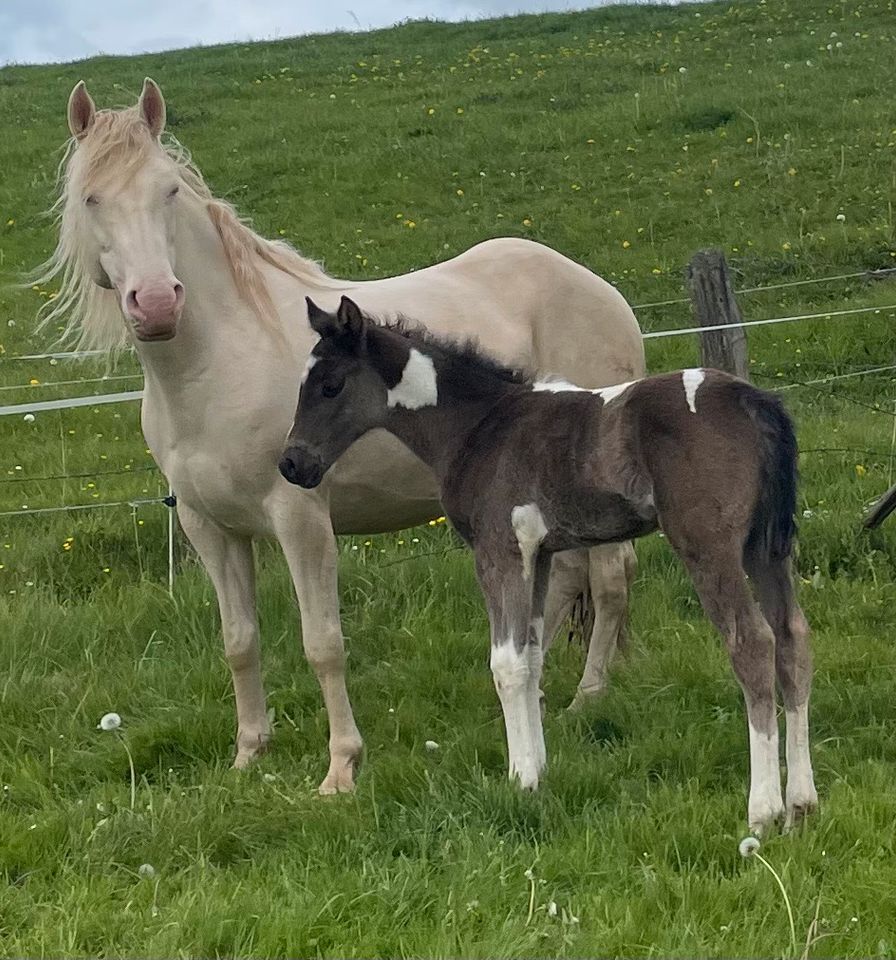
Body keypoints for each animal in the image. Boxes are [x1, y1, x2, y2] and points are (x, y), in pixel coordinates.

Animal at [40, 79, 644, 792]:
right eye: (91, 199)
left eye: (167, 191)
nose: (157, 303)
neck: (216, 363)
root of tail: (600, 289)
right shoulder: (206, 525)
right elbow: (239, 641)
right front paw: (249, 754)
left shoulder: (299, 516)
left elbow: (321, 643)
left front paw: (340, 770)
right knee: (567, 583)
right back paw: (545, 695)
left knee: (610, 579)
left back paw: (588, 697)